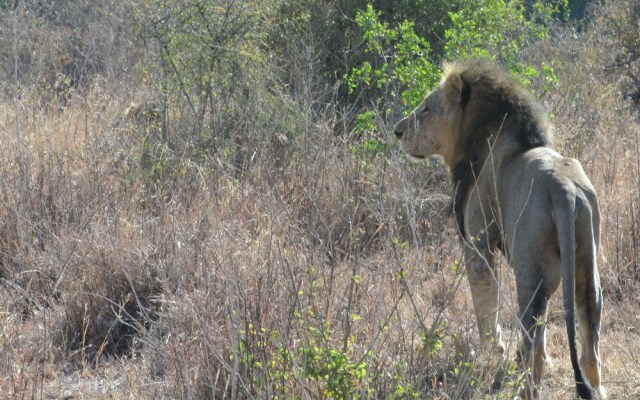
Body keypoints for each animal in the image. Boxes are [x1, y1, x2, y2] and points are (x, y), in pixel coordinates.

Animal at [392, 60, 608, 400]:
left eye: (426, 108)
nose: (398, 131)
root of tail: (565, 191)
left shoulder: (478, 242)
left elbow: (485, 303)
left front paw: (491, 355)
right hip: (587, 264)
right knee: (589, 344)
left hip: (531, 269)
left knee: (535, 341)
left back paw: (525, 391)